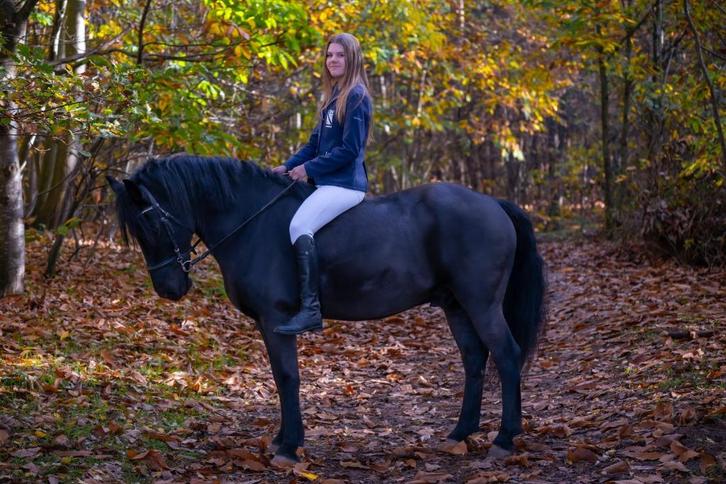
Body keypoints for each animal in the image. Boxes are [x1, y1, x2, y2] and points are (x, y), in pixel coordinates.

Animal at [107, 154, 546, 466]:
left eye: (150, 224)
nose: (169, 290)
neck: (251, 223)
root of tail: (493, 204)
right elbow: (280, 378)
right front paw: (282, 440)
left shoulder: (275, 321)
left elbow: (287, 378)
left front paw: (289, 448)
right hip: (456, 305)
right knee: (474, 358)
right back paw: (459, 434)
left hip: (481, 302)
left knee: (506, 355)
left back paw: (504, 440)